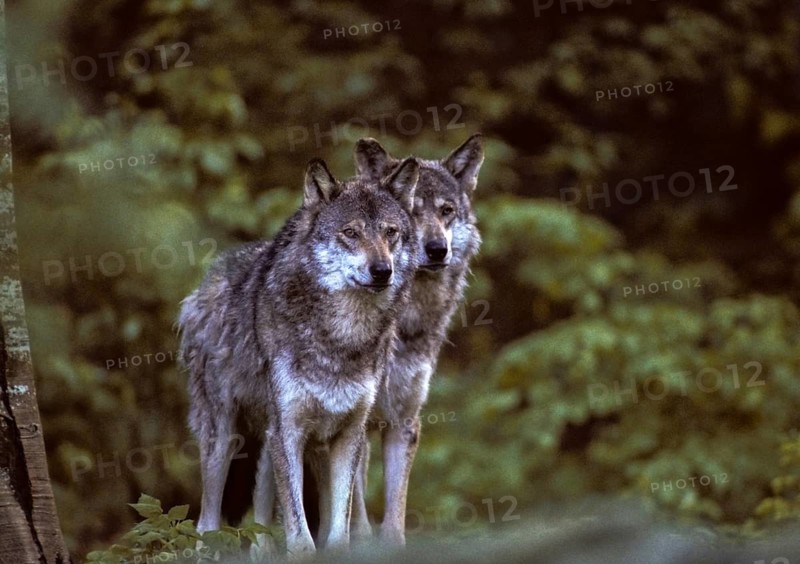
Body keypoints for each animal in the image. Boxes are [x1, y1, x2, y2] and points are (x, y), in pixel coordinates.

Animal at [177, 157, 420, 556]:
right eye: (350, 233)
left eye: (391, 232)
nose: (383, 271)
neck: (342, 339)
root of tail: (207, 280)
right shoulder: (288, 431)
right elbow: (301, 539)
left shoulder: (348, 435)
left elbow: (338, 534)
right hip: (225, 439)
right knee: (206, 522)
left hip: (270, 444)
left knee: (260, 528)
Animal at [342, 134, 485, 545]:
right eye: (411, 213)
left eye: (446, 210)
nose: (437, 249)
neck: (405, 322)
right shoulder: (355, 420)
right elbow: (356, 513)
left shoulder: (404, 419)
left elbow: (395, 511)